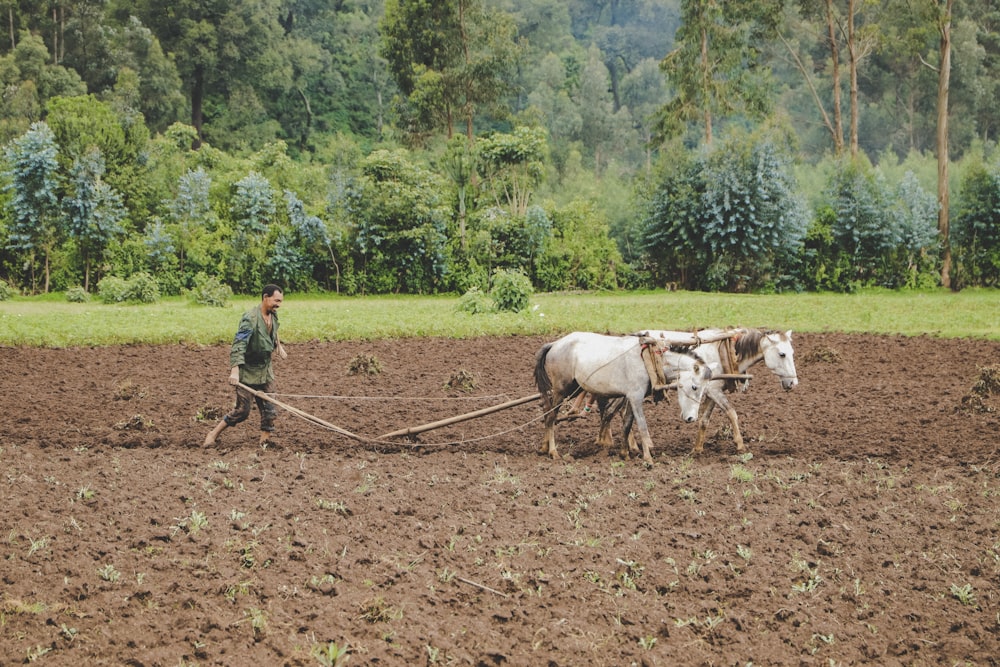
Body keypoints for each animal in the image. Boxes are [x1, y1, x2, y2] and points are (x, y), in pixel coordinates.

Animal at [536, 332, 716, 464]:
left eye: (704, 390)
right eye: (694, 386)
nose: (691, 418)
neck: (649, 359)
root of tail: (554, 344)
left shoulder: (630, 397)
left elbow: (627, 423)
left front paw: (625, 453)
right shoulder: (636, 398)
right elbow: (642, 425)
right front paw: (648, 458)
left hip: (571, 388)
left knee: (546, 411)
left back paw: (543, 447)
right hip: (561, 390)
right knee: (551, 417)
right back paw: (553, 451)